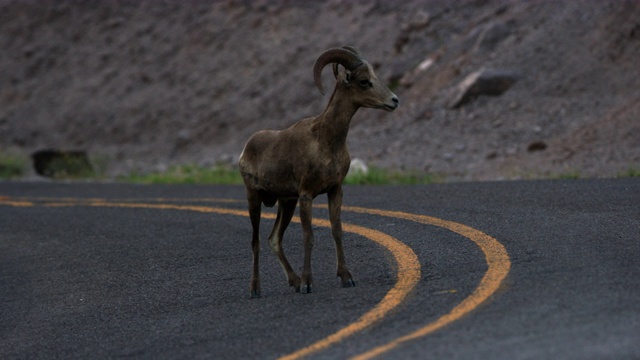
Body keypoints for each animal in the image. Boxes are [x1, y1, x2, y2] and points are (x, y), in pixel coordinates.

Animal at [240, 46, 400, 296]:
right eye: (364, 81)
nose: (394, 101)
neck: (326, 141)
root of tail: (246, 148)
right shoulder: (307, 195)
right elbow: (309, 236)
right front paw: (308, 283)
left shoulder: (335, 191)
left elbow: (337, 231)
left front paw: (346, 278)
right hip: (254, 199)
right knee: (255, 241)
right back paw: (256, 289)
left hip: (286, 203)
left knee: (273, 239)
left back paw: (294, 282)